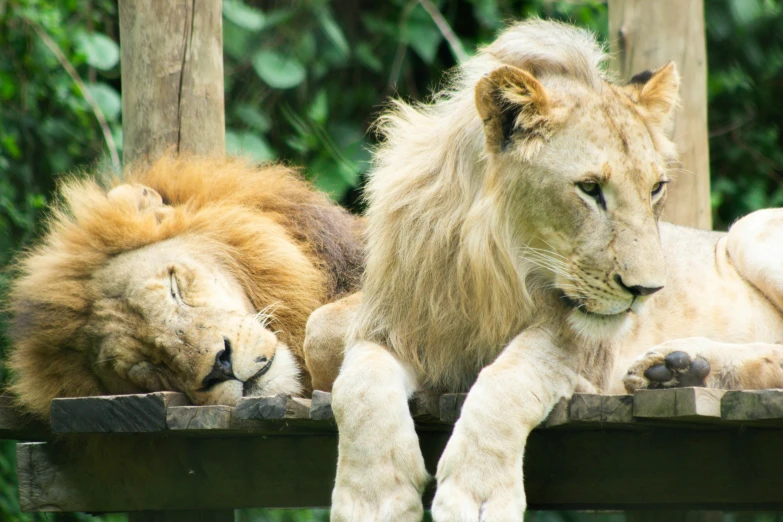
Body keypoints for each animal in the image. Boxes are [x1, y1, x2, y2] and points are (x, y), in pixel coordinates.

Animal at [316, 18, 783, 516]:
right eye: (590, 188)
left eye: (656, 188)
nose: (648, 291)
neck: (487, 272)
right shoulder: (389, 324)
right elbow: (354, 383)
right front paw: (373, 499)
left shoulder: (578, 340)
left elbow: (508, 378)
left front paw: (477, 494)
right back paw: (678, 369)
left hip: (749, 230)